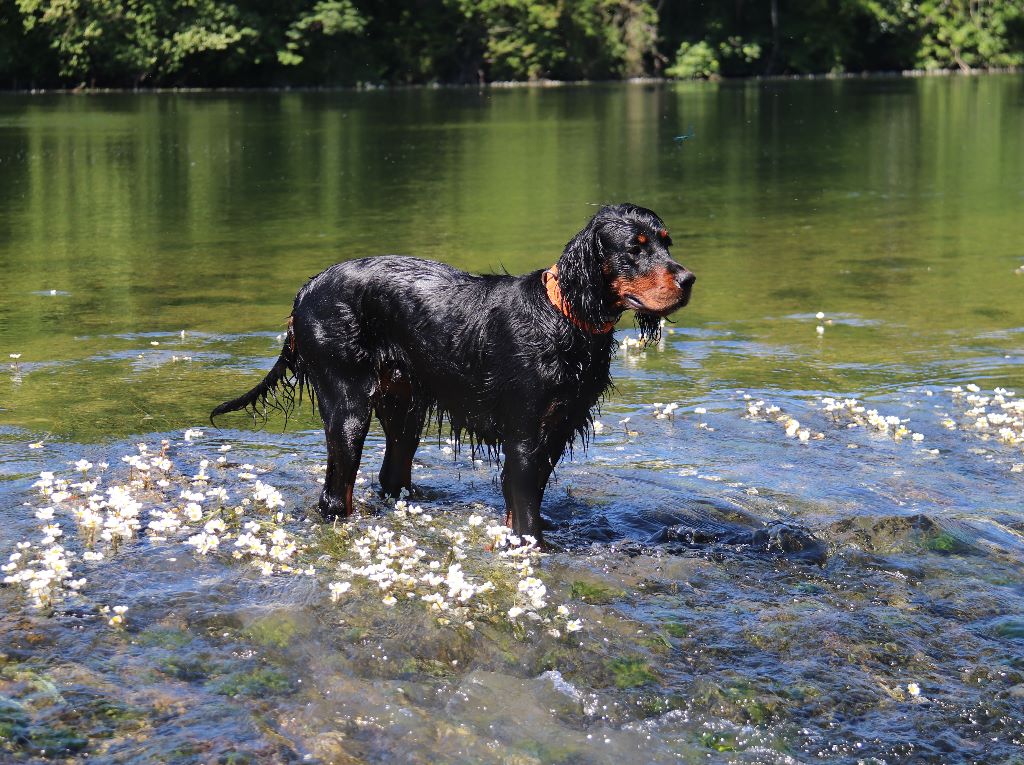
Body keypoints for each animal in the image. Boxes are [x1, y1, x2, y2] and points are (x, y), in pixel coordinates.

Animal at [215, 203, 696, 544]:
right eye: (634, 247)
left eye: (666, 242)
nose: (689, 279)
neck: (564, 318)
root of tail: (306, 290)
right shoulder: (524, 438)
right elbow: (525, 519)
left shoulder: (556, 432)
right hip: (348, 405)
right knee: (335, 496)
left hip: (404, 407)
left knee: (391, 476)